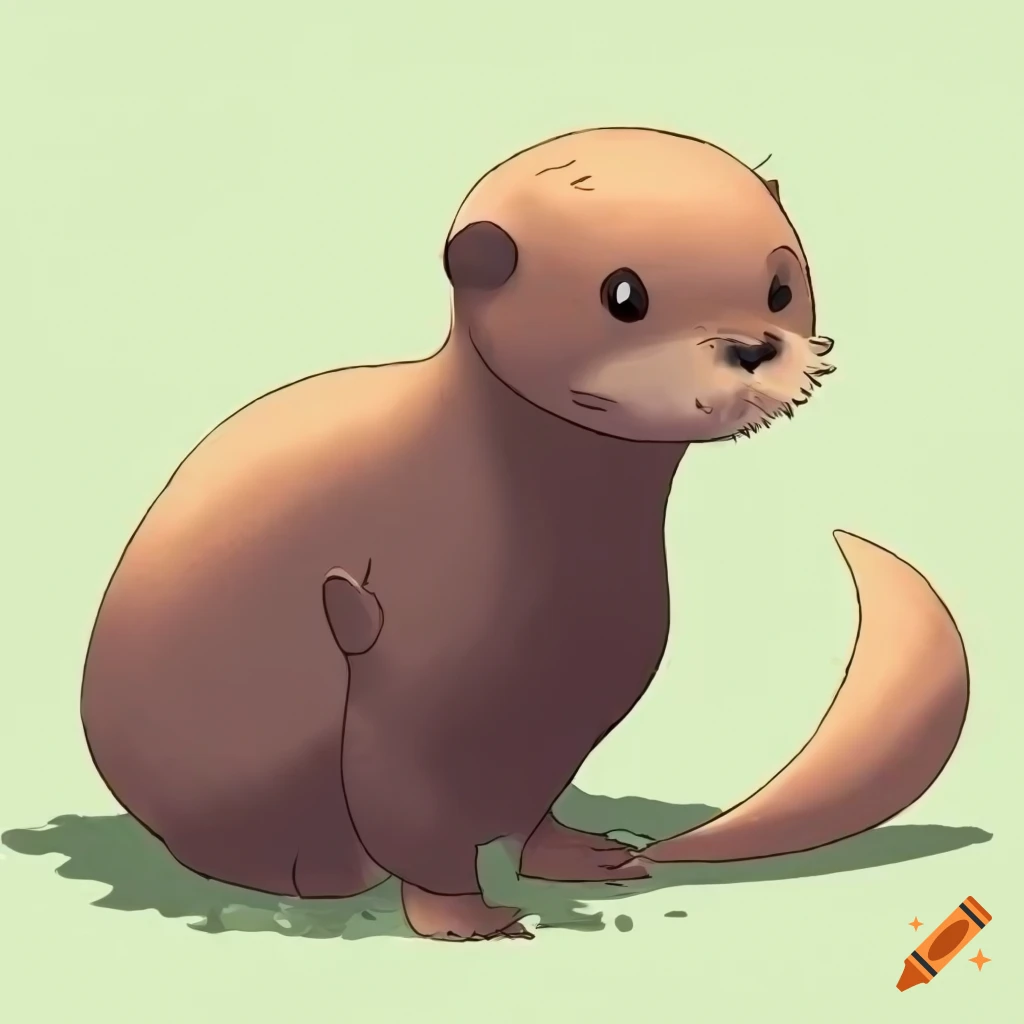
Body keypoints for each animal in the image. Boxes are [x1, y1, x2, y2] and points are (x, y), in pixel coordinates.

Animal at [80, 127, 969, 941]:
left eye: (781, 287)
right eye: (623, 295)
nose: (753, 347)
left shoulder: (562, 716)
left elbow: (531, 810)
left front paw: (575, 855)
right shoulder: (401, 696)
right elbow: (415, 826)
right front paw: (463, 918)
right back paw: (313, 873)